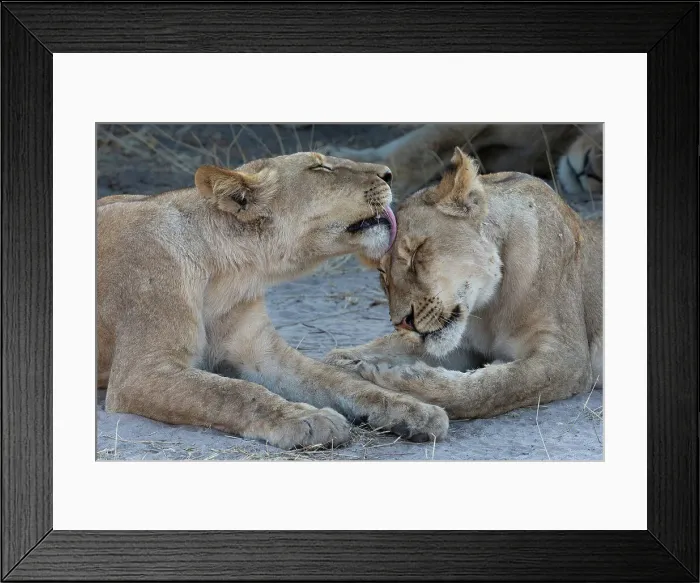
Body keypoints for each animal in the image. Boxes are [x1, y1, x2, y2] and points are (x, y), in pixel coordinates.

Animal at [98, 152, 449, 450]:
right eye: (320, 167)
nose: (389, 173)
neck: (230, 274)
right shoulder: (141, 373)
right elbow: (235, 392)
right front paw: (307, 418)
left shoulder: (265, 356)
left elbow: (342, 381)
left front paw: (414, 408)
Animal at [325, 147, 602, 420]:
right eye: (382, 273)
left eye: (416, 252)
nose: (402, 322)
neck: (491, 306)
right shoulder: (463, 344)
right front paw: (344, 360)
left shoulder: (568, 357)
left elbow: (492, 387)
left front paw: (397, 376)